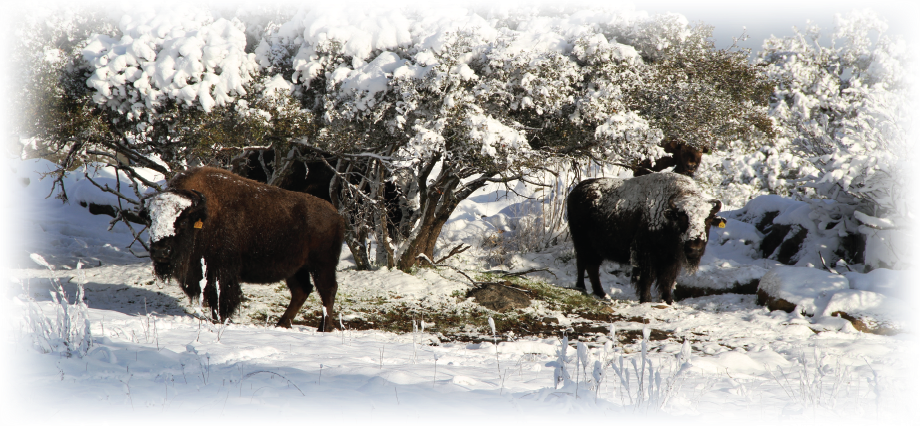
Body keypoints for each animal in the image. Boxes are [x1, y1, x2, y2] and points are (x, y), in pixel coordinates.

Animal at [147, 167, 345, 330]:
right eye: (151, 220)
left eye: (181, 221)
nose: (160, 251)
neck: (203, 216)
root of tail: (336, 215)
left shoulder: (221, 273)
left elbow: (222, 300)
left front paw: (221, 321)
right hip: (296, 269)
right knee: (302, 290)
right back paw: (281, 324)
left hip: (322, 265)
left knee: (328, 290)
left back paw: (323, 328)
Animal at [566, 172, 721, 304]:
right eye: (682, 218)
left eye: (708, 220)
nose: (695, 248)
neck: (667, 216)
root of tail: (575, 191)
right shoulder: (646, 256)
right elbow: (647, 278)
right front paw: (646, 300)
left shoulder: (671, 259)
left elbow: (667, 280)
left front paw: (668, 301)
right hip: (583, 244)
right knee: (586, 264)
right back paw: (588, 290)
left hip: (593, 248)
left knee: (588, 265)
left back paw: (597, 292)